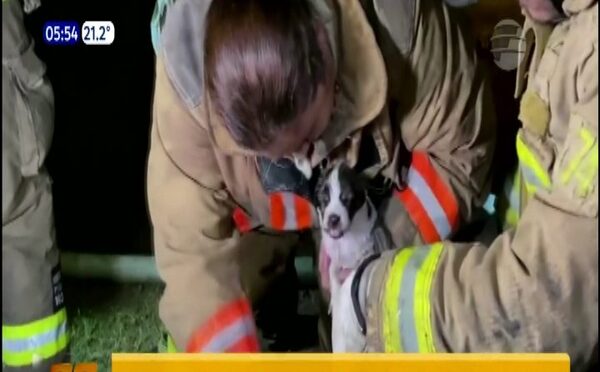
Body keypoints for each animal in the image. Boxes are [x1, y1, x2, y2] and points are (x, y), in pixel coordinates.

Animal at [314, 161, 394, 352]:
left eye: (347, 199)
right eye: (324, 199)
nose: (333, 219)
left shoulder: (374, 236)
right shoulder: (334, 257)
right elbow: (332, 271)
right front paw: (333, 303)